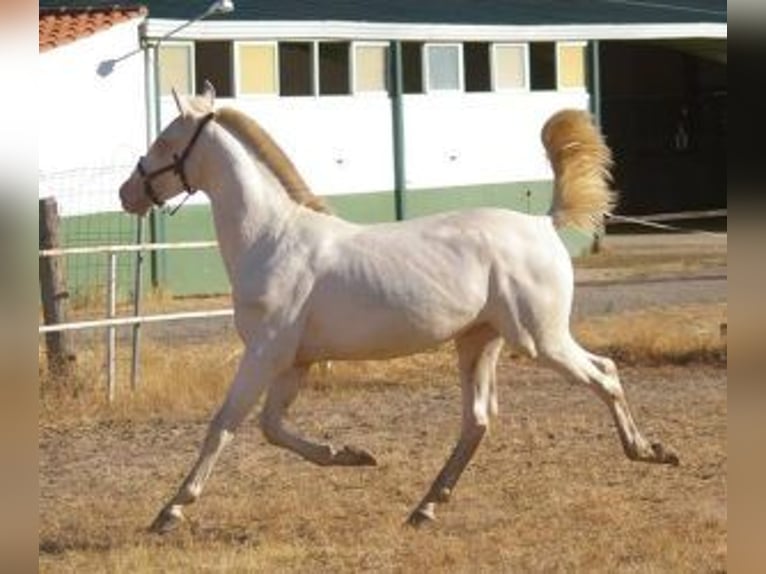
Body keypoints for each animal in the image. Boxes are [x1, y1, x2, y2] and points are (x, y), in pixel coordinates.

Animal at [119, 82, 678, 533]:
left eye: (165, 141)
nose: (127, 193)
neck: (272, 238)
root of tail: (542, 224)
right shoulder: (294, 362)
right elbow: (271, 428)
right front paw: (352, 455)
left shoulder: (263, 354)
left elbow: (224, 426)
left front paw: (169, 511)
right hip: (479, 341)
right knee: (478, 420)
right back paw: (425, 507)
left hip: (540, 339)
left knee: (604, 374)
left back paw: (649, 451)